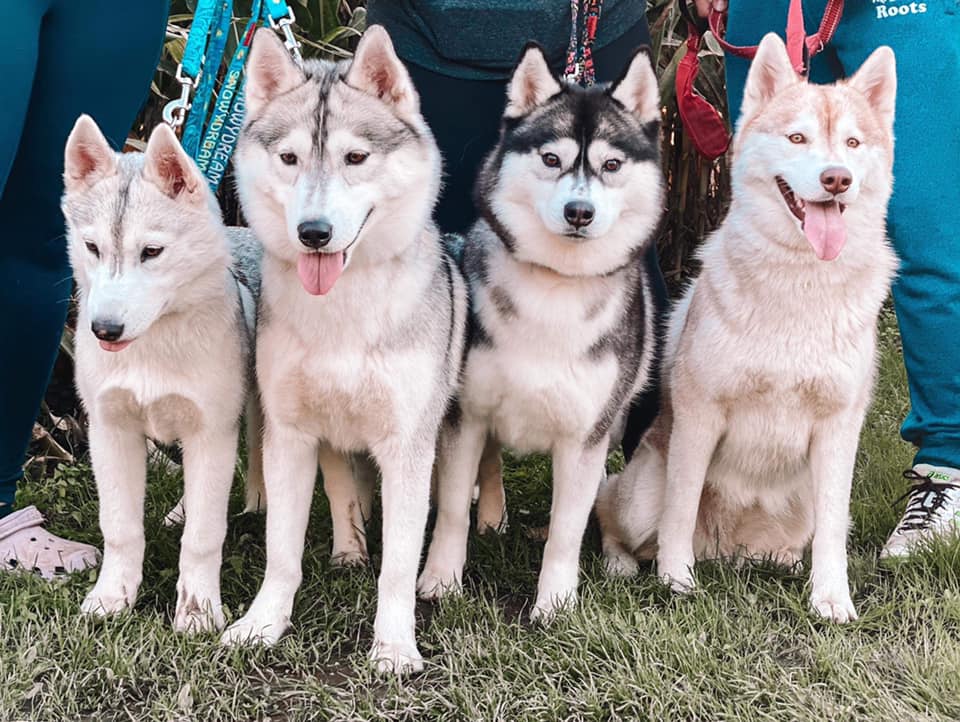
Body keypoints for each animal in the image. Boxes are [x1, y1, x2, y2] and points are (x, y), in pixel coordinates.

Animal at [62, 117, 263, 632]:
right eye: (92, 248)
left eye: (151, 252)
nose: (103, 329)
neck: (152, 349)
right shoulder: (109, 433)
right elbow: (120, 528)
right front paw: (112, 597)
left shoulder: (212, 433)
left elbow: (204, 536)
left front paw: (197, 611)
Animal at [219, 26, 467, 674]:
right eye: (289, 160)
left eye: (356, 159)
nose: (314, 233)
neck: (343, 314)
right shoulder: (290, 436)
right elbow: (282, 553)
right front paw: (263, 624)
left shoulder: (408, 447)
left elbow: (399, 566)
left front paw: (395, 646)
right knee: (341, 491)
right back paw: (348, 548)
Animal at [415, 44, 664, 621]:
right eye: (552, 160)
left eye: (611, 165)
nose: (579, 211)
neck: (556, 285)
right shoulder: (465, 415)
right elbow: (452, 510)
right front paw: (441, 580)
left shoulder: (584, 435)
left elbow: (565, 531)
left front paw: (555, 605)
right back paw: (493, 516)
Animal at [595, 34, 898, 622]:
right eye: (797, 137)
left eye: (852, 142)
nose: (837, 179)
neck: (798, 284)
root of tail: (728, 549)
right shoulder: (699, 419)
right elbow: (679, 511)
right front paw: (676, 581)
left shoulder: (838, 433)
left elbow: (832, 535)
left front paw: (832, 599)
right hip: (639, 492)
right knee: (614, 520)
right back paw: (625, 565)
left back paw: (779, 560)